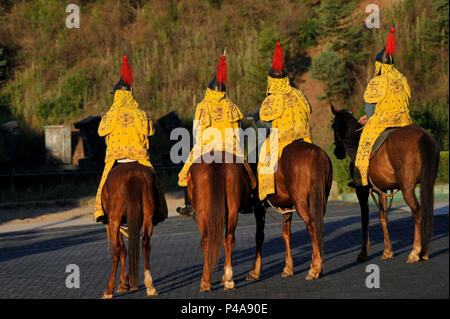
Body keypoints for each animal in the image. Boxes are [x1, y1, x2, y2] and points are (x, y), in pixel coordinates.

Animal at [100, 162, 167, 300]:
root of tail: (132, 174)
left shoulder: (117, 223)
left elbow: (122, 249)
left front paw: (123, 284)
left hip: (115, 218)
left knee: (116, 249)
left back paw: (108, 290)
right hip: (148, 216)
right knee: (145, 244)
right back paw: (150, 286)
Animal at [185, 152, 253, 292]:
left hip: (202, 215)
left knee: (205, 242)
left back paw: (206, 281)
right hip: (232, 211)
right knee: (229, 239)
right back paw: (229, 279)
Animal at [244, 141, 332, 282]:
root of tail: (316, 153)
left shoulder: (259, 206)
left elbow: (259, 236)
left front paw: (255, 271)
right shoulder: (286, 207)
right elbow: (286, 234)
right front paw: (288, 268)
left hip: (301, 202)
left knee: (312, 225)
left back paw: (314, 268)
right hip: (321, 199)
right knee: (318, 226)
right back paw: (318, 266)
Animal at [330, 106, 440, 264]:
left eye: (332, 126)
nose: (336, 152)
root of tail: (423, 135)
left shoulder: (361, 191)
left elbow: (365, 220)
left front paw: (363, 254)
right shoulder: (381, 190)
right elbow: (383, 218)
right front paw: (387, 251)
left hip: (407, 189)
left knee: (417, 211)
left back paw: (415, 252)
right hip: (427, 182)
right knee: (426, 210)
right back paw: (423, 252)